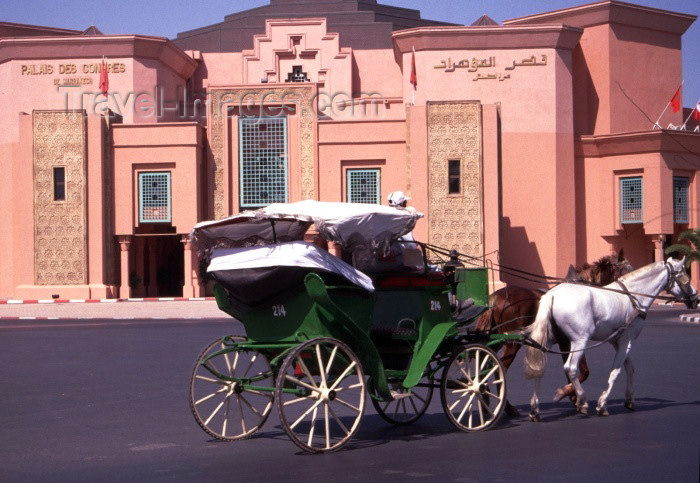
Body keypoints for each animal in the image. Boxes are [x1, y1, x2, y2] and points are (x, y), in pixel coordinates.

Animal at [478, 250, 632, 416]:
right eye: (627, 270)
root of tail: (495, 298)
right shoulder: (575, 340)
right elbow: (584, 371)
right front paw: (571, 395)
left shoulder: (565, 343)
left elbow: (571, 370)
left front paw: (574, 397)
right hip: (512, 343)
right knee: (500, 370)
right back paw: (507, 407)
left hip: (497, 340)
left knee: (484, 364)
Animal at [524, 260, 696, 422]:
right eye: (683, 275)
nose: (695, 297)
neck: (634, 297)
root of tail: (552, 295)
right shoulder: (627, 341)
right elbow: (616, 371)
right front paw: (602, 404)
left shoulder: (616, 341)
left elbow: (630, 368)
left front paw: (630, 399)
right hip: (580, 340)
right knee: (571, 368)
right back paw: (582, 401)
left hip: (549, 339)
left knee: (539, 367)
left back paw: (535, 409)